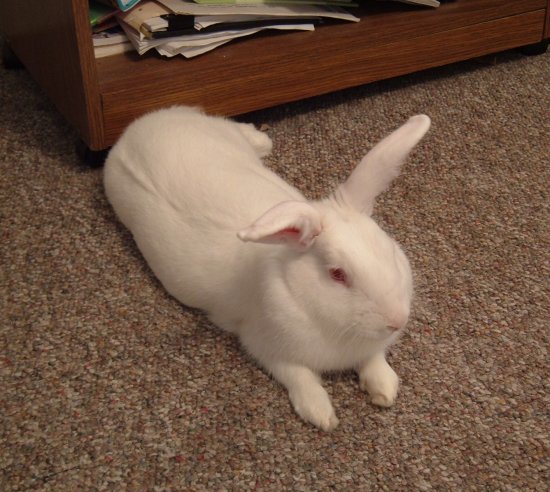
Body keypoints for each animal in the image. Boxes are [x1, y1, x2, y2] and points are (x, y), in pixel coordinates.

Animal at [103, 104, 432, 430]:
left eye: (389, 249)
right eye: (337, 274)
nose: (397, 321)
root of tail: (139, 126)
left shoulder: (369, 346)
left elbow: (375, 359)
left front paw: (385, 389)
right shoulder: (264, 347)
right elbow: (299, 377)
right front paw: (321, 414)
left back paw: (263, 141)